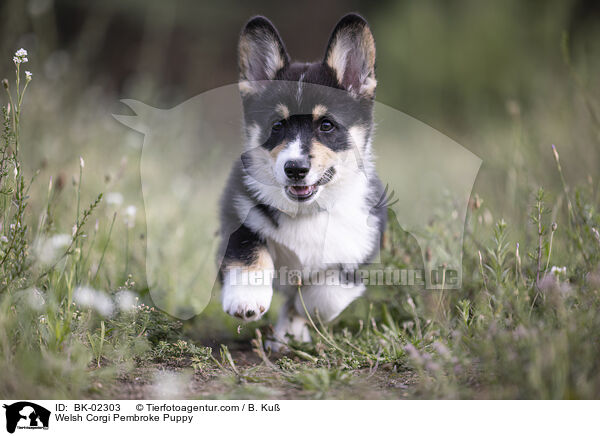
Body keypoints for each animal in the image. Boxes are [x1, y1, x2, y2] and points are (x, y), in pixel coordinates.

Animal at [218, 13, 386, 350]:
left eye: (326, 125)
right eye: (277, 125)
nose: (295, 168)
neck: (306, 212)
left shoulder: (356, 254)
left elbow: (321, 296)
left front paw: (298, 319)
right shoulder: (239, 214)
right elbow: (248, 252)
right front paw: (246, 299)